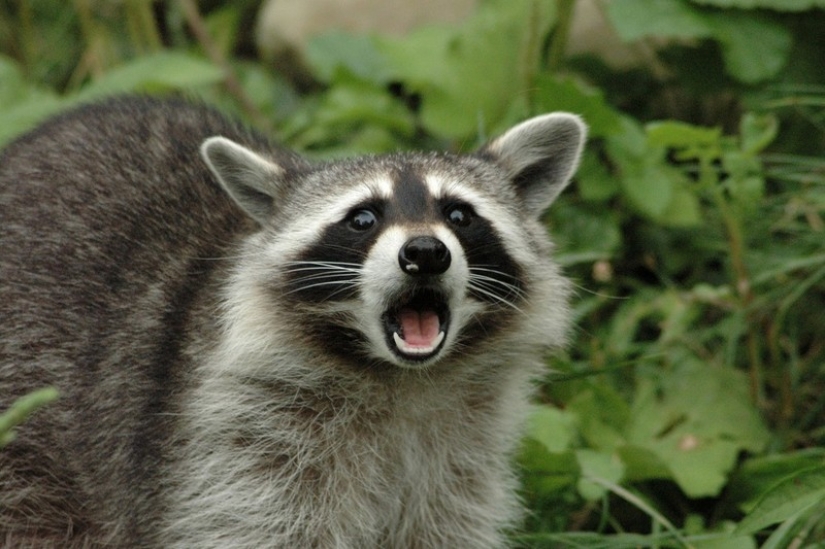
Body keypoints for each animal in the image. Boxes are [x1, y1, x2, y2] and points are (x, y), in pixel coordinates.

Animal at [0, 96, 585, 548]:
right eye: (363, 218)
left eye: (459, 215)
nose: (425, 252)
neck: (403, 380)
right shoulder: (234, 444)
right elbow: (259, 527)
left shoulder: (459, 464)